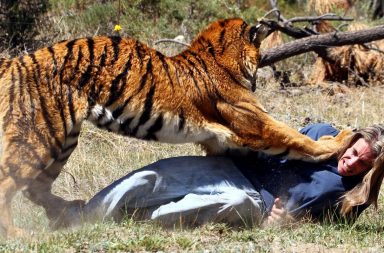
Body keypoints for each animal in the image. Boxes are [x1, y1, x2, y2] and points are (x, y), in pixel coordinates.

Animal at [0, 18, 352, 237]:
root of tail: (15, 62)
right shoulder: (253, 123)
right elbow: (296, 139)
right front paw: (340, 140)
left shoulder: (223, 140)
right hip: (39, 137)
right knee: (9, 184)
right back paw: (18, 233)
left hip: (62, 140)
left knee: (35, 187)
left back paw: (65, 211)